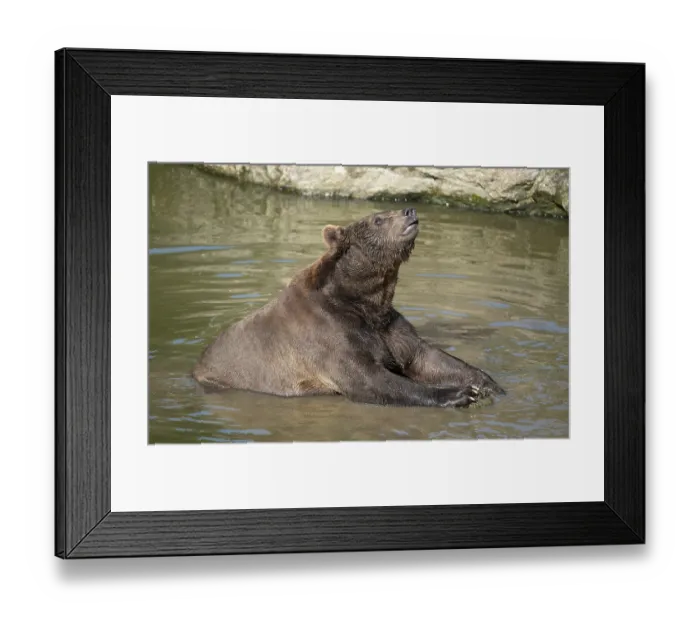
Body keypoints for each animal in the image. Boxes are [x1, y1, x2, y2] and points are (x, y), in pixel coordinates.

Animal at [192, 208, 505, 408]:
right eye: (378, 219)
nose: (409, 211)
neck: (362, 299)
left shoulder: (388, 326)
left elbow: (425, 357)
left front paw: (486, 384)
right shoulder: (329, 334)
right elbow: (369, 379)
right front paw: (457, 394)